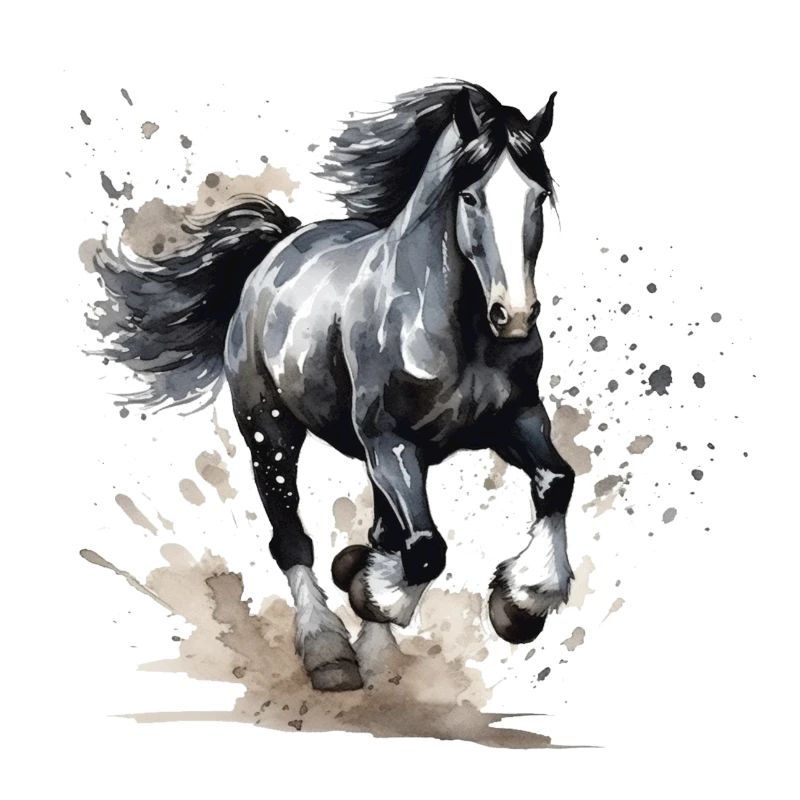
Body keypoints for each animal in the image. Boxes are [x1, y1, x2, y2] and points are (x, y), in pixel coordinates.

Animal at [88, 80, 575, 692]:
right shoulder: (391, 441)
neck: (450, 327)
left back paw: (376, 649)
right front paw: (377, 593)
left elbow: (557, 482)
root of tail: (278, 247)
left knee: (383, 528)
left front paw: (521, 601)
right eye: (470, 197)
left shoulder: (517, 419)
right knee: (292, 537)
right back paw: (330, 653)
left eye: (539, 195)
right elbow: (426, 550)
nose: (514, 316)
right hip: (270, 432)